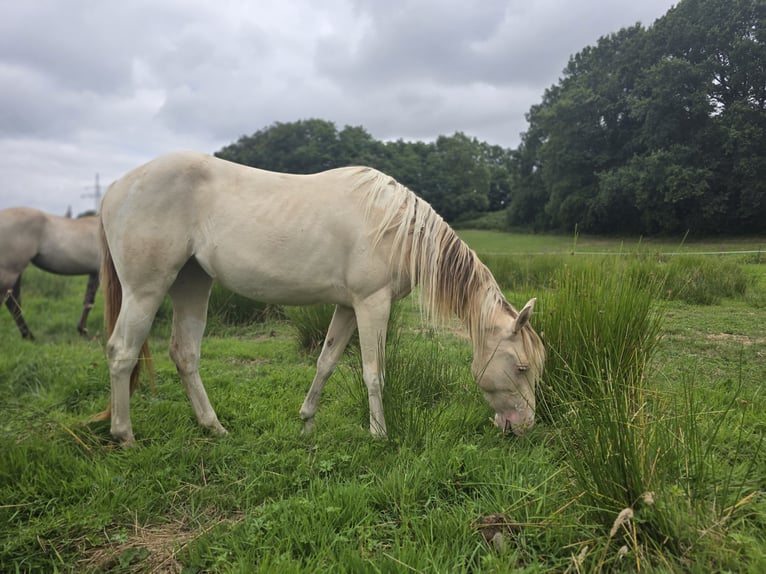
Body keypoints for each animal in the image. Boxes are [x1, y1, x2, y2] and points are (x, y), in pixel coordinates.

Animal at [0, 207, 100, 340]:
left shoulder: (95, 272)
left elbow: (88, 301)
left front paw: (82, 330)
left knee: (13, 303)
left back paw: (28, 335)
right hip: (10, 272)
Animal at [96, 151, 545, 445]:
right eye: (521, 367)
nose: (524, 426)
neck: (396, 226)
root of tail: (116, 187)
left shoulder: (347, 306)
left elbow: (326, 362)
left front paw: (307, 422)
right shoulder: (371, 304)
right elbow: (373, 372)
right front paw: (379, 434)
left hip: (192, 283)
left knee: (185, 353)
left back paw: (214, 427)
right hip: (146, 289)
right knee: (122, 352)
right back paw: (125, 435)